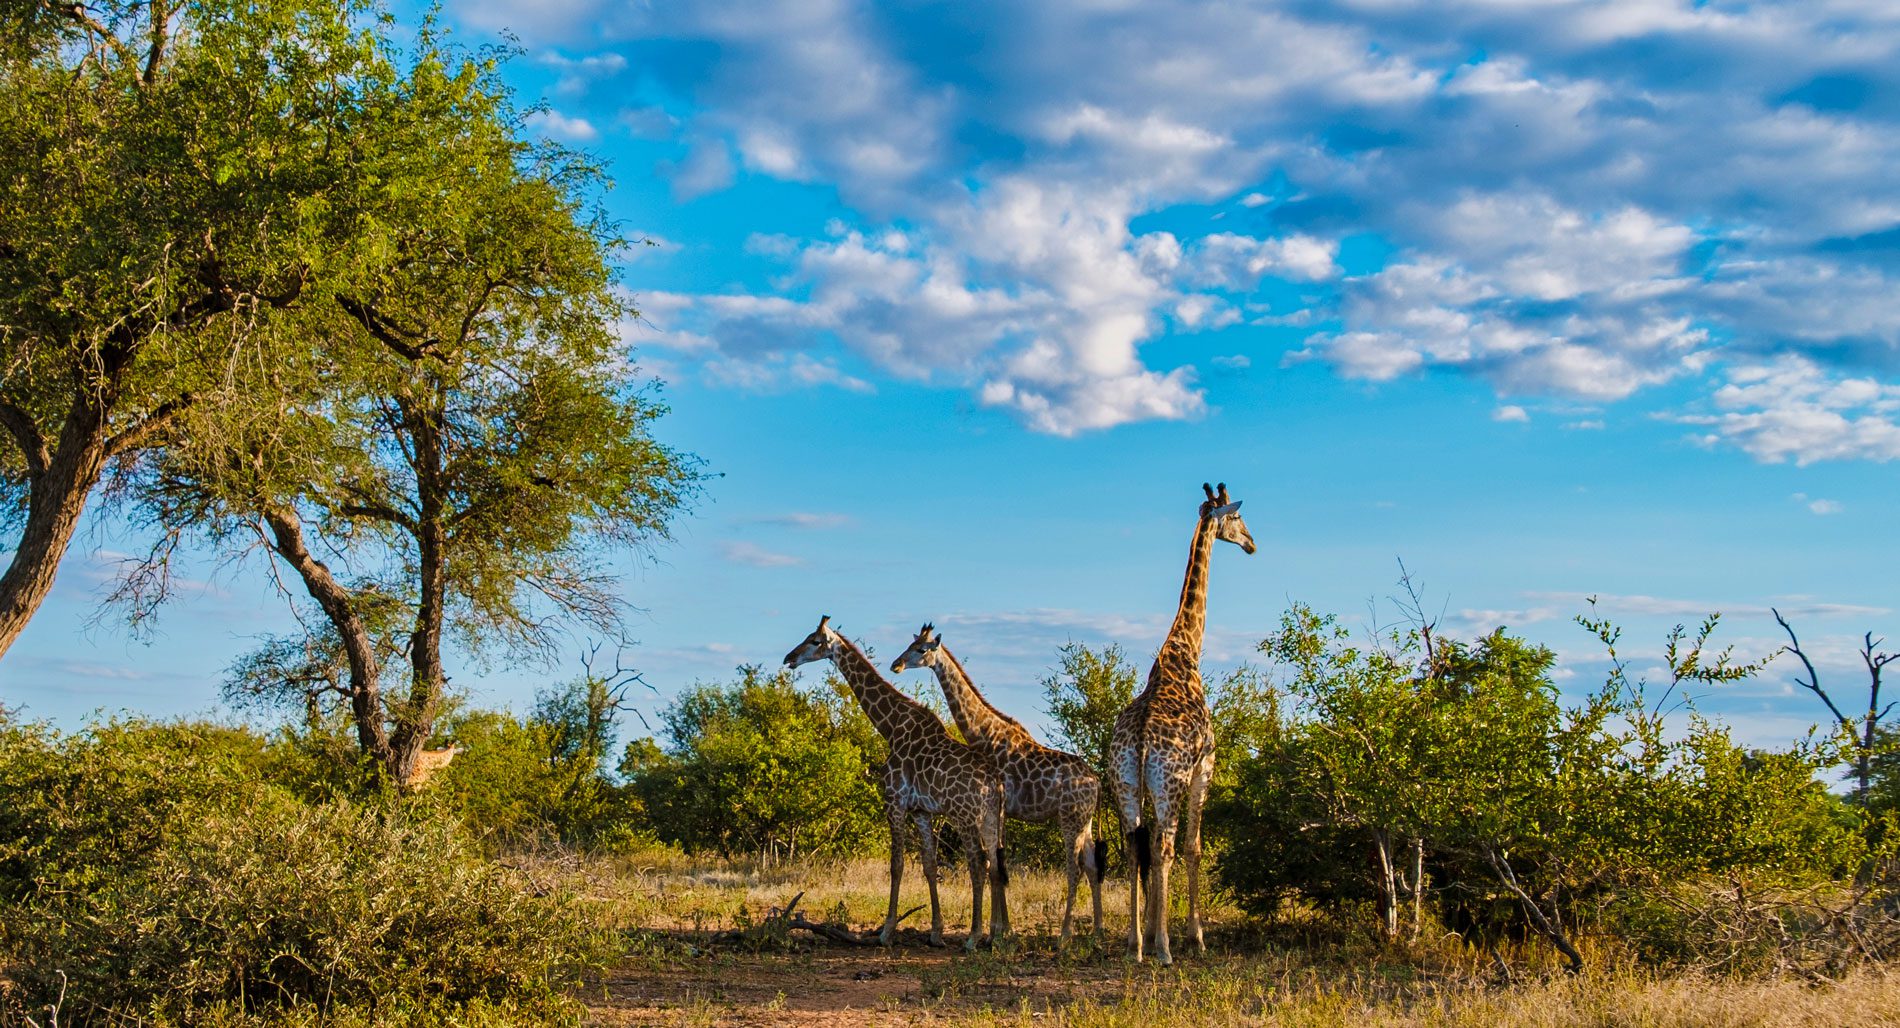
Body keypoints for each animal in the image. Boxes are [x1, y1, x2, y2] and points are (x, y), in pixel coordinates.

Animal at [779, 611, 1010, 950]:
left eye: (815, 641)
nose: (789, 658)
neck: (891, 727)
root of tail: (995, 782)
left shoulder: (894, 802)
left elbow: (897, 865)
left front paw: (887, 931)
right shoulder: (922, 811)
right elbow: (929, 865)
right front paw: (936, 933)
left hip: (965, 815)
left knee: (978, 863)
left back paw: (973, 936)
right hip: (993, 816)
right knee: (995, 863)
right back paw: (996, 935)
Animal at [893, 619, 1109, 942]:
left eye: (921, 649)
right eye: (909, 644)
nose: (896, 664)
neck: (984, 733)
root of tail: (1096, 781)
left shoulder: (999, 806)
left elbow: (996, 863)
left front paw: (997, 931)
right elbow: (998, 862)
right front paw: (1002, 929)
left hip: (1070, 818)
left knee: (1075, 868)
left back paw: (1064, 936)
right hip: (1086, 820)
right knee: (1093, 865)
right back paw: (1096, 931)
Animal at [1109, 480, 1254, 961]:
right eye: (1237, 517)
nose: (1252, 544)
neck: (1184, 649)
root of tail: (1139, 742)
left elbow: (1148, 851)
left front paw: (1150, 931)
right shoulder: (1205, 766)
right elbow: (1194, 848)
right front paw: (1195, 935)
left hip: (1126, 784)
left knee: (1136, 848)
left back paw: (1136, 944)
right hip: (1169, 782)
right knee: (1167, 846)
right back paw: (1166, 948)